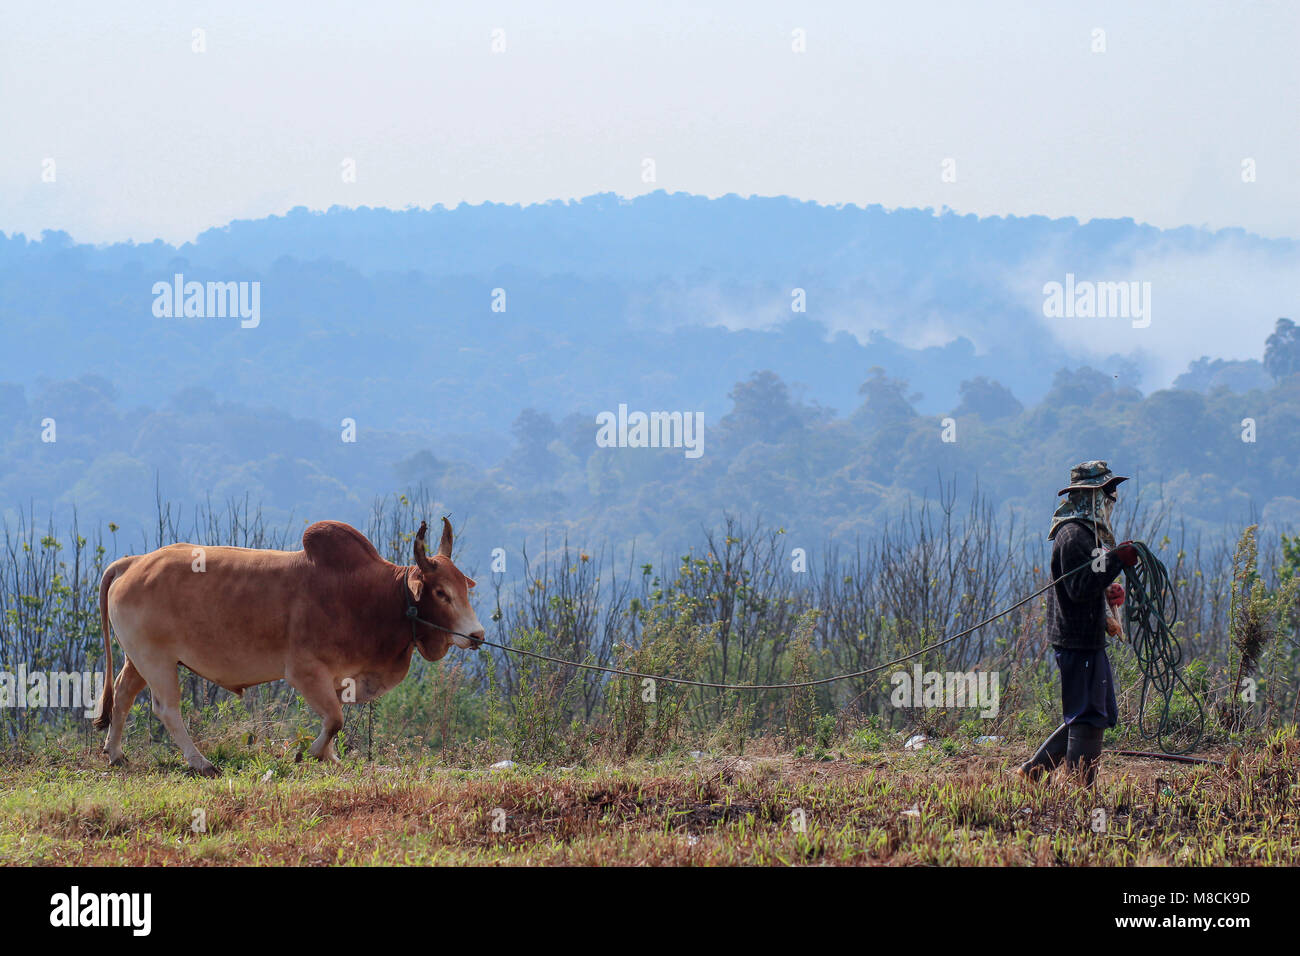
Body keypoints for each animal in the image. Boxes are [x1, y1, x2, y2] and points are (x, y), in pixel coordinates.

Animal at [92, 515, 483, 780]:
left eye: (463, 588)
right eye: (440, 592)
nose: (477, 635)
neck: (367, 595)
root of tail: (134, 562)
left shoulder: (338, 677)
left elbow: (333, 719)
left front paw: (330, 758)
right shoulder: (305, 672)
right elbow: (336, 719)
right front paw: (309, 754)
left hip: (137, 660)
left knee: (123, 696)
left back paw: (115, 754)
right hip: (156, 660)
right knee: (167, 709)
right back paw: (201, 763)